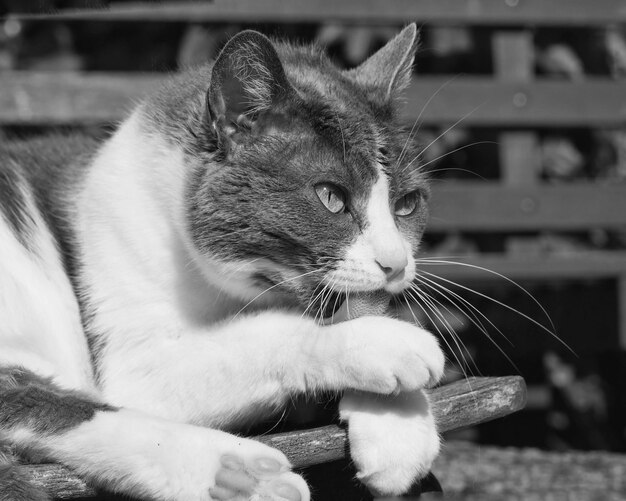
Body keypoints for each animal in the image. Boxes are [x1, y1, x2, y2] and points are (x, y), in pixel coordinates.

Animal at [0, 24, 442, 500]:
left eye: (407, 204)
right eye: (331, 197)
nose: (396, 263)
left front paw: (399, 421)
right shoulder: (129, 346)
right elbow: (270, 331)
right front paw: (385, 345)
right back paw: (240, 474)